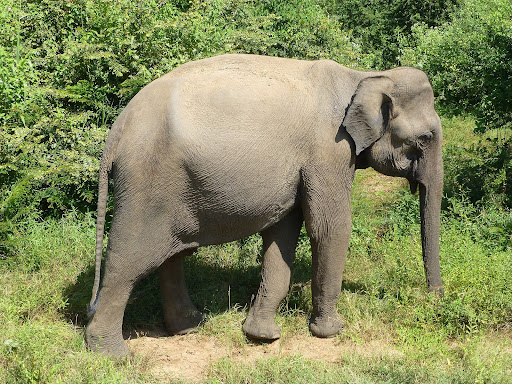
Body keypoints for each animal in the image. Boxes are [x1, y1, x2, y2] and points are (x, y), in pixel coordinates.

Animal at [85, 52, 444, 356]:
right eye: (425, 138)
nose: (435, 299)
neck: (362, 76)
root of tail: (116, 131)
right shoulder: (329, 151)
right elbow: (330, 229)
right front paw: (331, 331)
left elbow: (282, 232)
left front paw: (262, 336)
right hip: (148, 182)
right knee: (127, 261)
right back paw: (113, 356)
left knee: (172, 255)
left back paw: (189, 327)